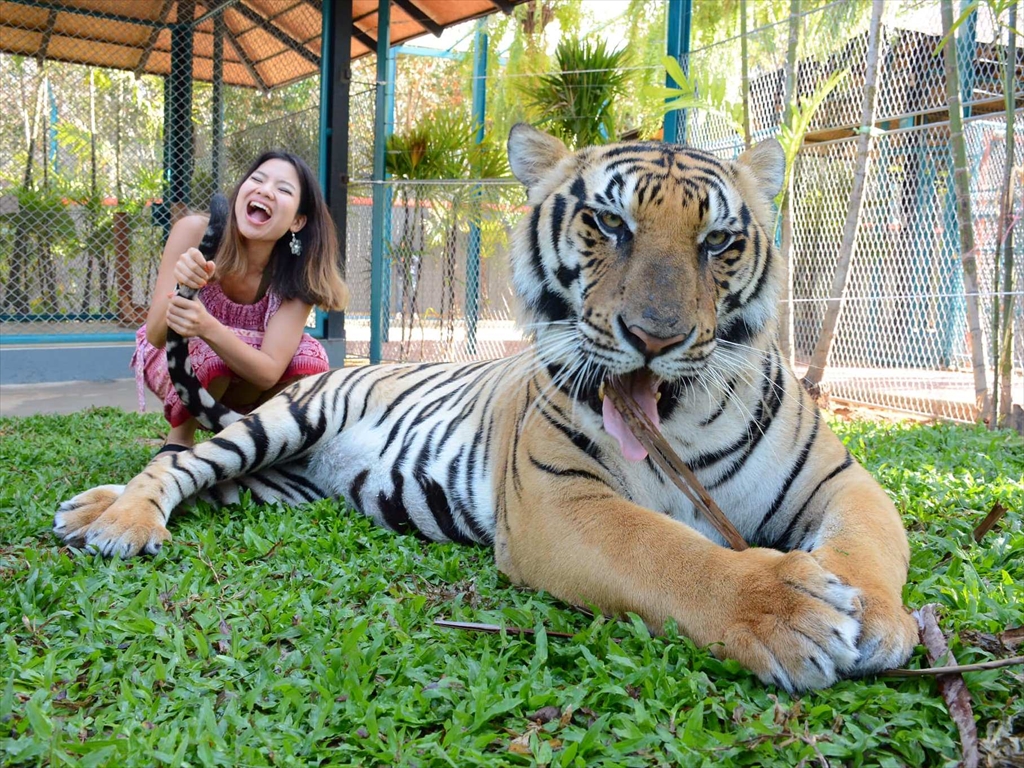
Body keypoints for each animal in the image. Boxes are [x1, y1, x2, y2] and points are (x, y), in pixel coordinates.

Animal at [51, 124, 917, 692]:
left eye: (719, 243)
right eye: (610, 223)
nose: (655, 337)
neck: (674, 422)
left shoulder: (839, 479)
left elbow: (869, 544)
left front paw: (879, 617)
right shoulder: (560, 501)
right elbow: (670, 553)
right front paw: (790, 609)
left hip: (276, 479)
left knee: (193, 470)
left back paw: (92, 507)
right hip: (281, 421)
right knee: (179, 462)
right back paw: (120, 522)